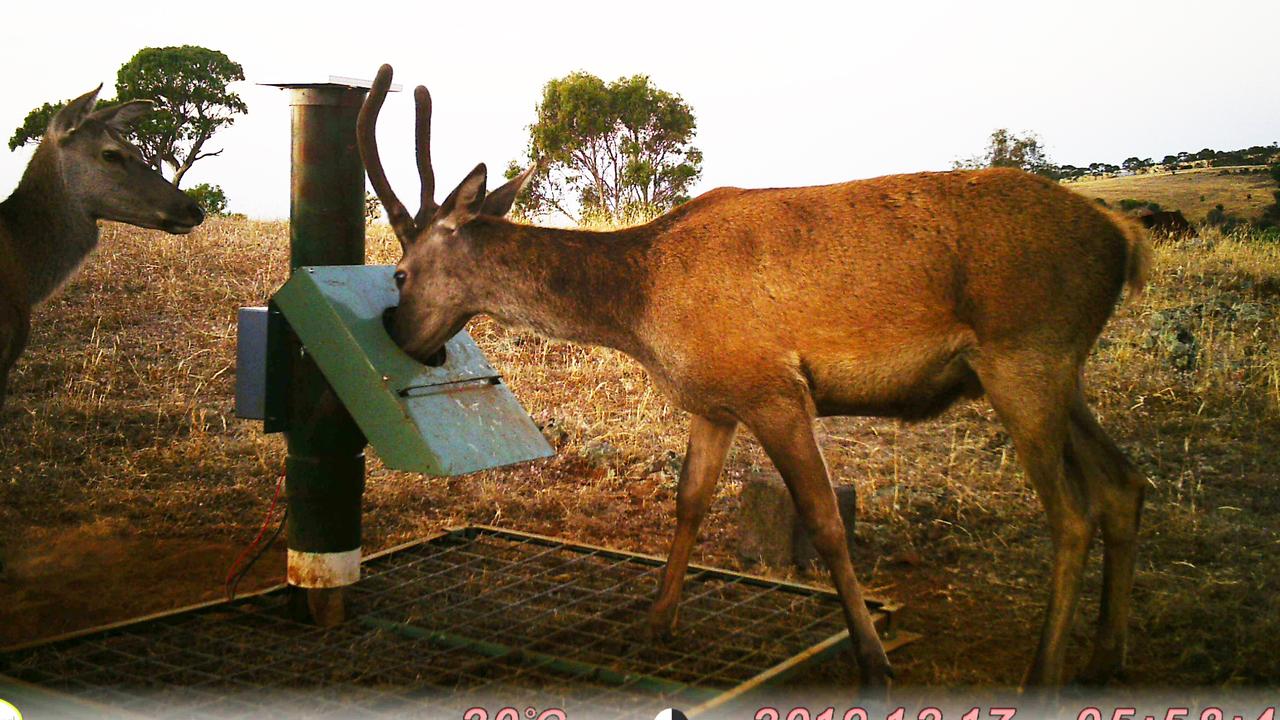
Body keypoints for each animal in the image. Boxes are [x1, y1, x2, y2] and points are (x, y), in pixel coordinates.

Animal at [358, 64, 1152, 686]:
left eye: (400, 272)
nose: (401, 337)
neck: (643, 308)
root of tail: (1126, 239)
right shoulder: (714, 399)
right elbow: (689, 501)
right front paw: (656, 621)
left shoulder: (774, 389)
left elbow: (826, 524)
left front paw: (873, 658)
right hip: (1057, 371)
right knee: (1123, 482)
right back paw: (1105, 655)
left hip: (1025, 355)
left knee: (1072, 511)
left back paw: (1044, 670)